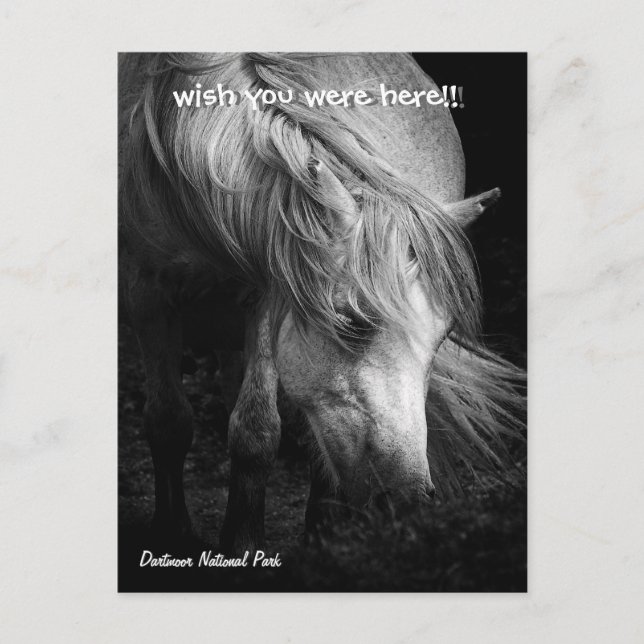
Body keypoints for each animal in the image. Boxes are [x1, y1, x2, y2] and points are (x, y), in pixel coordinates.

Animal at [118, 53, 525, 555]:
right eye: (351, 322)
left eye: (442, 338)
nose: (409, 498)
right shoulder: (148, 296)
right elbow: (168, 423)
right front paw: (174, 534)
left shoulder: (267, 301)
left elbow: (255, 430)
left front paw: (243, 541)